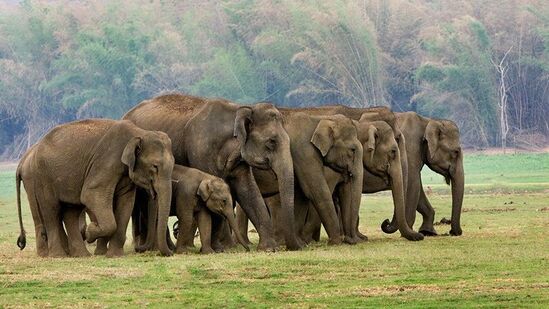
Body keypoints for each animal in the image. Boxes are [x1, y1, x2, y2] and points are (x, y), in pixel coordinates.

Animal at [15, 119, 173, 256]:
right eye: (155, 166)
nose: (170, 253)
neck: (139, 132)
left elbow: (126, 203)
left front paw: (115, 255)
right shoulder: (106, 161)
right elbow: (91, 195)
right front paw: (91, 232)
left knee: (71, 212)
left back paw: (81, 255)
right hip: (43, 177)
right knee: (51, 210)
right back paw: (58, 255)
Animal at [123, 92, 300, 250]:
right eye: (271, 142)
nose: (294, 247)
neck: (239, 110)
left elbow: (248, 190)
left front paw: (268, 248)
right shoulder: (201, 150)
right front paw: (227, 248)